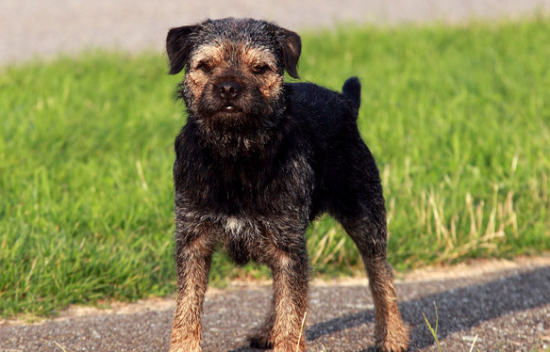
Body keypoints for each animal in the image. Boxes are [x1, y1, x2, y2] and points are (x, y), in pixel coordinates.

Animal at [166, 17, 412, 350]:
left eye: (260, 68)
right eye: (205, 65)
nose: (228, 88)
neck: (236, 154)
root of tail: (346, 101)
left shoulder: (289, 244)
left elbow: (292, 311)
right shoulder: (193, 239)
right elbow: (187, 308)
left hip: (364, 215)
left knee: (379, 272)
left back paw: (392, 335)